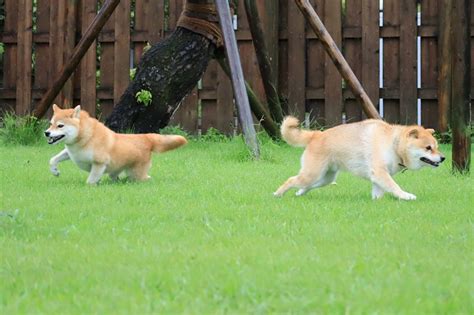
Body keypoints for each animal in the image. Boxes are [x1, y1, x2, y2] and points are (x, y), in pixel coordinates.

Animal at [45, 105, 187, 185]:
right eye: (51, 124)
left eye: (60, 125)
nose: (46, 133)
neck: (85, 137)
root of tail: (146, 137)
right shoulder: (70, 153)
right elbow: (53, 159)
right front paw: (55, 171)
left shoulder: (99, 163)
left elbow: (90, 182)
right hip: (116, 172)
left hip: (137, 175)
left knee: (146, 178)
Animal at [274, 117, 444, 201]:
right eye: (428, 148)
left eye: (436, 146)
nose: (443, 158)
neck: (393, 144)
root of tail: (316, 135)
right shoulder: (380, 173)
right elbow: (394, 187)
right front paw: (406, 196)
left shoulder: (377, 178)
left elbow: (378, 194)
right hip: (312, 174)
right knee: (291, 180)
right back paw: (277, 194)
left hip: (325, 178)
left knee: (305, 185)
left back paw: (299, 193)